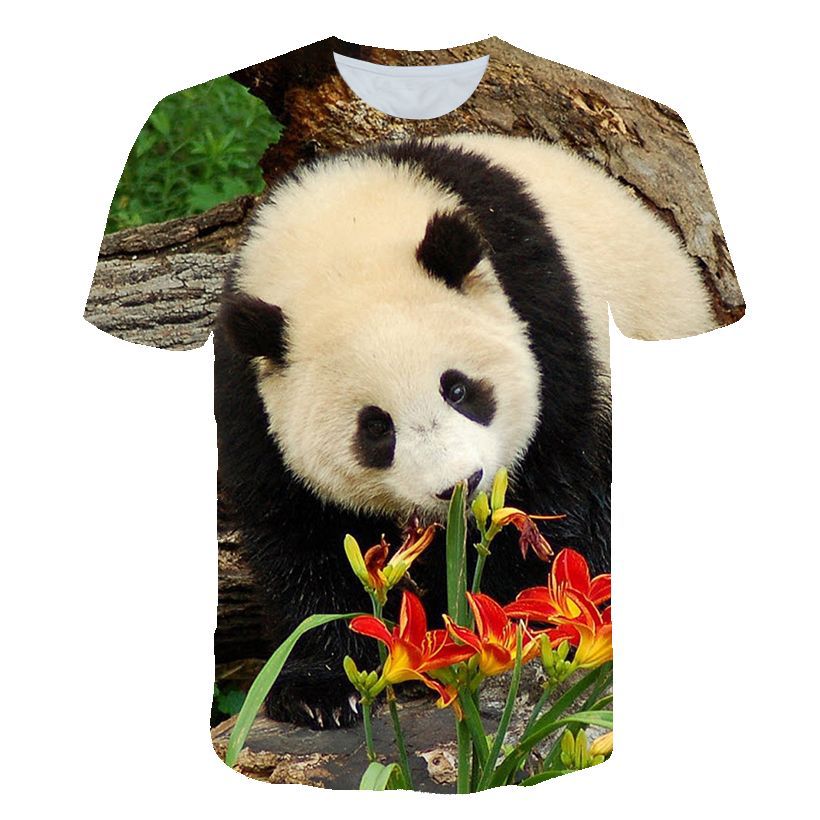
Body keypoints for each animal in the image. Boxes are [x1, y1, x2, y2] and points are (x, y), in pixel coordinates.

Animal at [215, 134, 715, 728]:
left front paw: (500, 627)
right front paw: (322, 689)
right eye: (375, 428)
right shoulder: (247, 391)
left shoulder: (544, 315)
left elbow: (554, 485)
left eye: (457, 389)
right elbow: (296, 529)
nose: (459, 485)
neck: (344, 235)